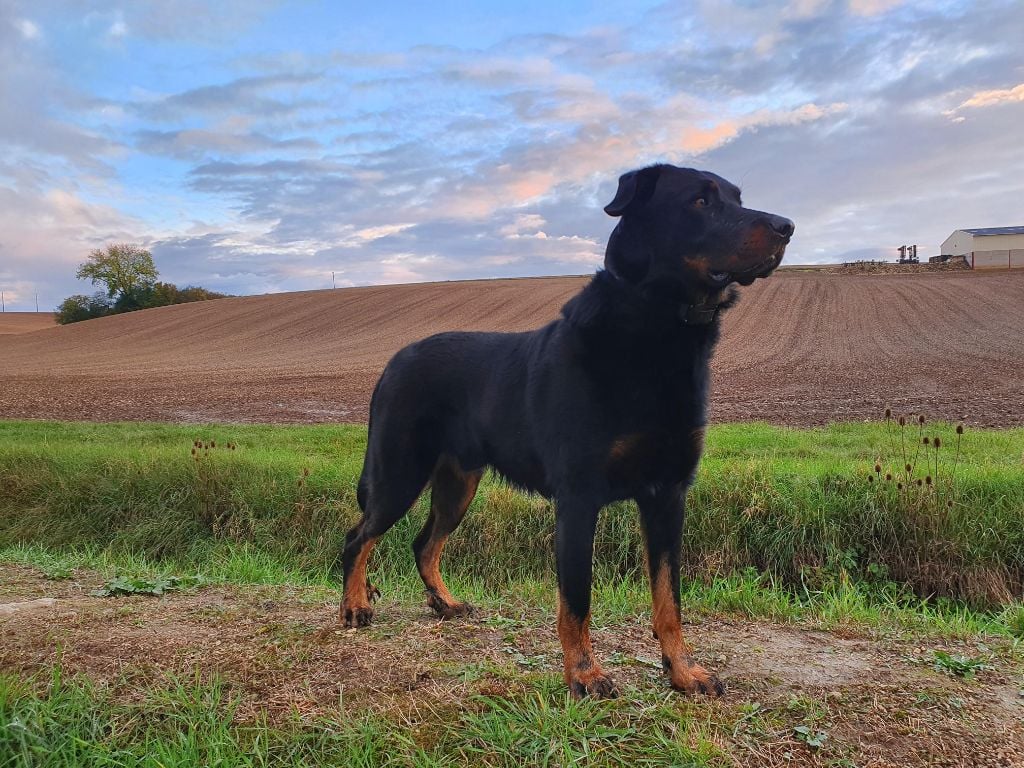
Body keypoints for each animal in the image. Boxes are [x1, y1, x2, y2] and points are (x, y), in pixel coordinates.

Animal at [342, 165, 790, 700]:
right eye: (701, 201)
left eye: (739, 198)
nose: (787, 226)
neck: (657, 327)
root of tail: (394, 362)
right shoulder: (579, 497)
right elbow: (577, 598)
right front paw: (584, 674)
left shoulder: (668, 495)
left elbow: (670, 599)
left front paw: (682, 672)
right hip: (399, 473)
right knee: (358, 537)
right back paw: (354, 607)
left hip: (458, 484)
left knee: (423, 544)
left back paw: (445, 604)